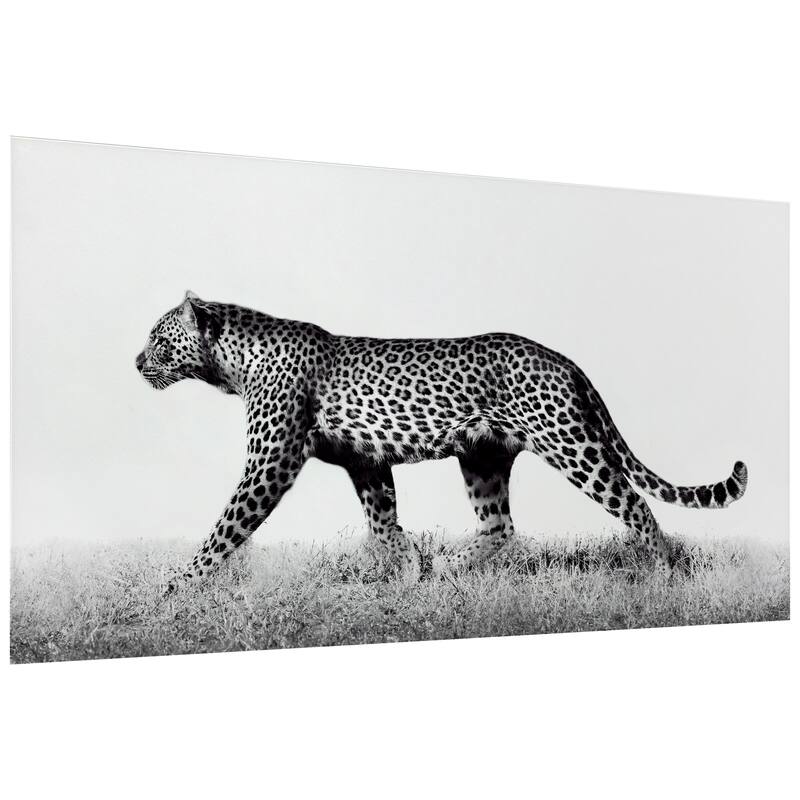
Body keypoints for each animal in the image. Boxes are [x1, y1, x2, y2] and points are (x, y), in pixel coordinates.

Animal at [136, 291, 748, 589]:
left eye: (159, 338)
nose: (137, 361)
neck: (231, 363)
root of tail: (563, 359)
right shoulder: (365, 461)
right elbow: (383, 525)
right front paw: (408, 572)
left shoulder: (271, 462)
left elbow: (226, 528)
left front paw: (177, 589)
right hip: (483, 457)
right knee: (499, 526)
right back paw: (448, 569)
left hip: (572, 446)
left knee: (636, 504)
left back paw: (666, 576)